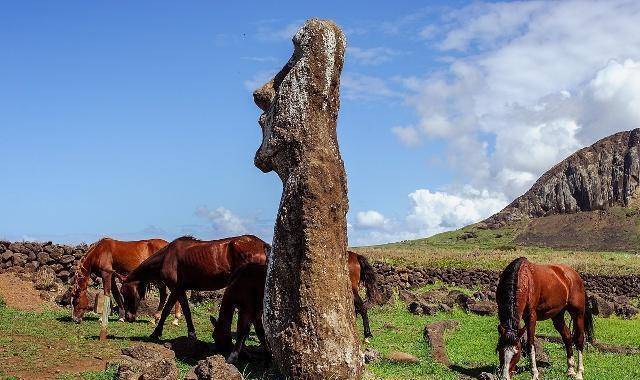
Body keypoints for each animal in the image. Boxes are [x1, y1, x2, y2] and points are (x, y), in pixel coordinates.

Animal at [119, 233, 268, 340]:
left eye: (124, 292)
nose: (128, 317)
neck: (167, 257)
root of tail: (262, 245)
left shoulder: (176, 288)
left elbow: (171, 310)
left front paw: (157, 332)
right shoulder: (180, 289)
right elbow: (181, 310)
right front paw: (190, 333)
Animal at [210, 251, 380, 364]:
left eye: (215, 336)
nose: (218, 349)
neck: (241, 280)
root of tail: (355, 256)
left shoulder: (247, 309)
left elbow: (242, 331)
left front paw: (233, 357)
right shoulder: (256, 311)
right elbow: (259, 331)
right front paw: (267, 354)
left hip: (351, 290)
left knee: (362, 308)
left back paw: (367, 334)